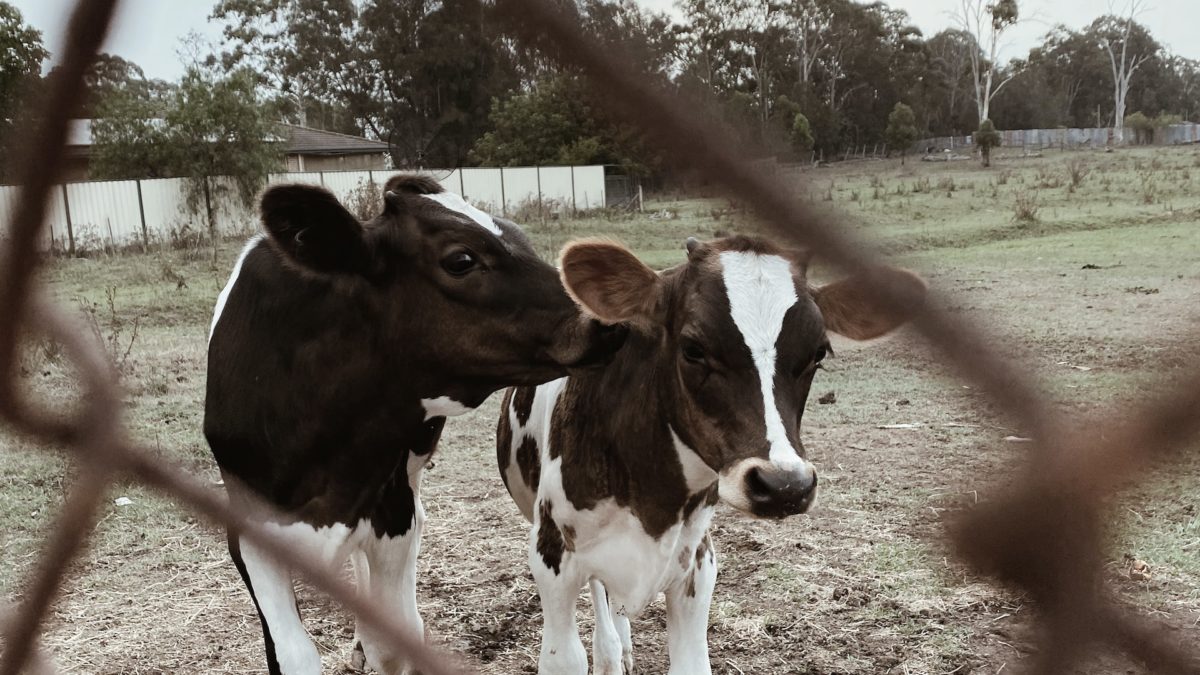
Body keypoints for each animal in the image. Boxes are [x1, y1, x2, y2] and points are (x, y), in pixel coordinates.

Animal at [204, 174, 628, 672]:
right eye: (461, 259)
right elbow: (292, 654)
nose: (607, 316)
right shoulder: (249, 533)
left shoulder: (392, 511)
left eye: (519, 237)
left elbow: (396, 637)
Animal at [492, 234, 921, 667]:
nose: (785, 485)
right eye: (693, 349)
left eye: (818, 353)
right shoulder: (551, 557)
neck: (651, 497)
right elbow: (566, 653)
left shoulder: (697, 565)